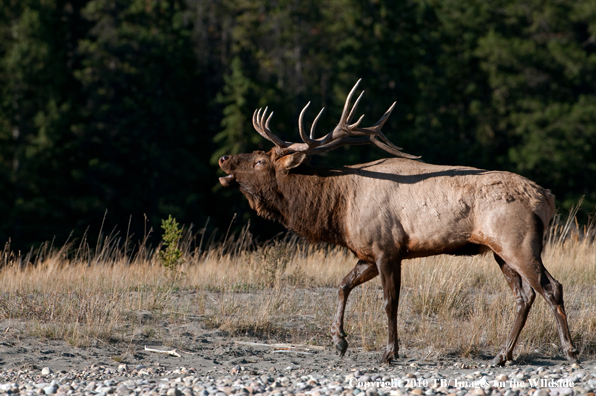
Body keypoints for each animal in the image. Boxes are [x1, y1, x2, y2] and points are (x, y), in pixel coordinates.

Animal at [219, 79, 576, 366]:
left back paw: (569, 351)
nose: (223, 159)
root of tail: (547, 197)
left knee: (551, 287)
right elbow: (342, 284)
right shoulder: (367, 253)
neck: (339, 208)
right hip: (499, 251)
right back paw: (502, 355)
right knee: (524, 296)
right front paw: (339, 341)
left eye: (260, 160)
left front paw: (389, 352)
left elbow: (390, 302)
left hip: (519, 241)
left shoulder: (386, 247)